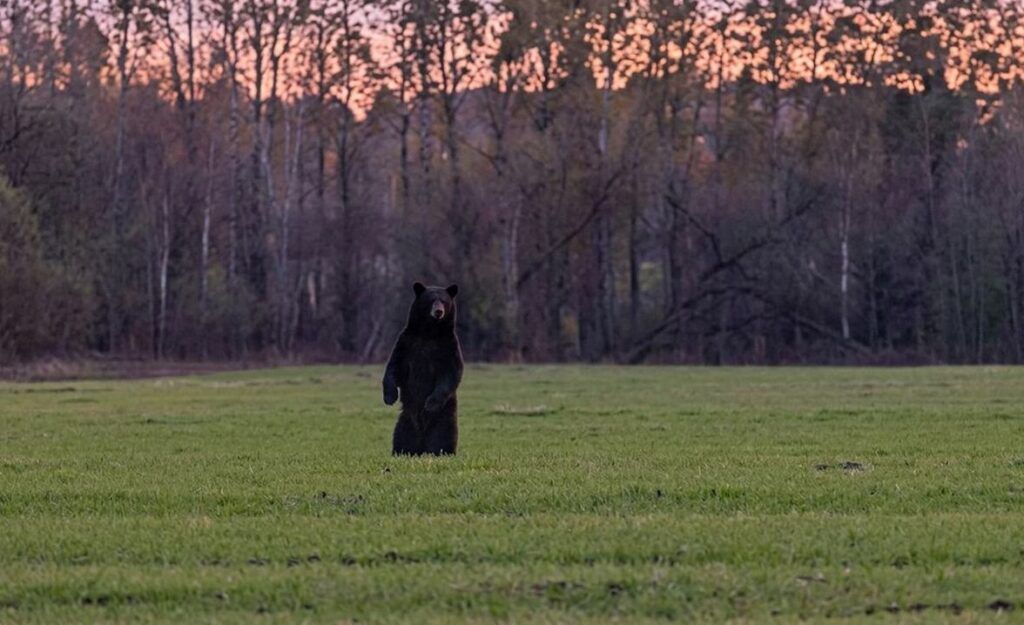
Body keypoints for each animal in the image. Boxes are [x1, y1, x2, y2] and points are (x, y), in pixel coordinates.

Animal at [382, 282, 463, 455]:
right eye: (431, 300)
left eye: (444, 301)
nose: (438, 312)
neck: (429, 333)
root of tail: (422, 445)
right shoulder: (407, 343)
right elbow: (394, 367)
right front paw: (390, 397)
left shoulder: (449, 347)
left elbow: (451, 373)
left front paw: (430, 403)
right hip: (406, 420)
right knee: (401, 436)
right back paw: (402, 451)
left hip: (444, 417)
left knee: (443, 436)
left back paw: (441, 451)